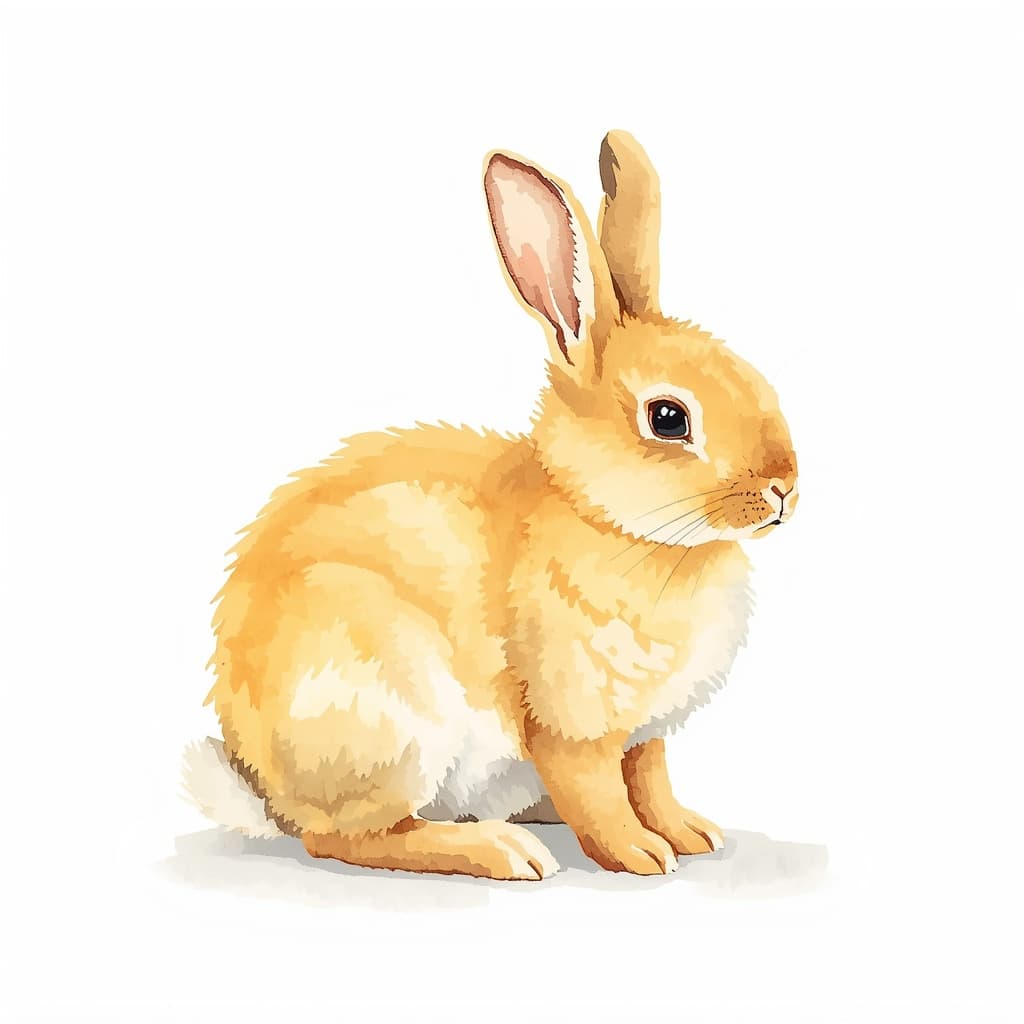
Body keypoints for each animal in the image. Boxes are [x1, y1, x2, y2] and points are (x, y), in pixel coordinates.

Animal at [184, 130, 798, 879]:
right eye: (668, 418)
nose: (784, 487)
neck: (613, 524)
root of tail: (265, 794)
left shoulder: (645, 735)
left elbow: (651, 780)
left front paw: (690, 833)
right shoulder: (572, 725)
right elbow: (598, 795)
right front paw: (640, 856)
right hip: (389, 712)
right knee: (348, 839)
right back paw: (503, 851)